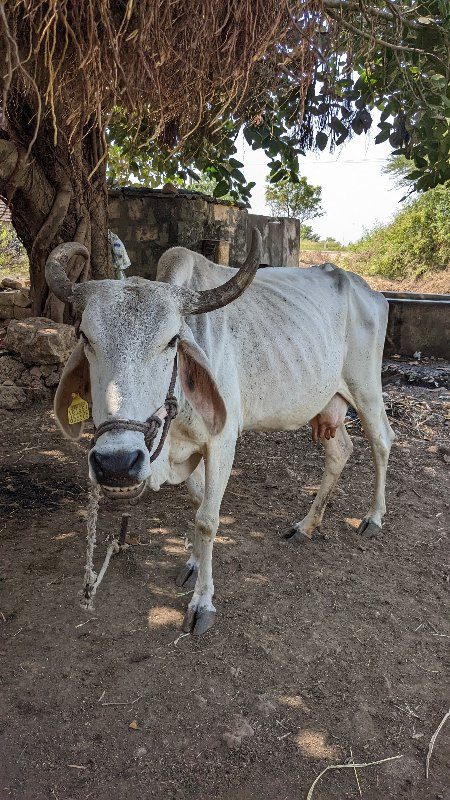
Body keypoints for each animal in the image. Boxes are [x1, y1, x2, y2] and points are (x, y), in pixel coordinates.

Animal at [46, 230, 394, 632]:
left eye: (172, 341)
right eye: (86, 337)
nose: (117, 464)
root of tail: (369, 290)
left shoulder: (221, 442)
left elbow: (208, 520)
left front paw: (202, 603)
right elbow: (197, 504)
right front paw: (194, 566)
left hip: (366, 388)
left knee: (381, 441)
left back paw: (373, 518)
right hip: (322, 402)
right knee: (340, 451)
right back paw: (306, 525)